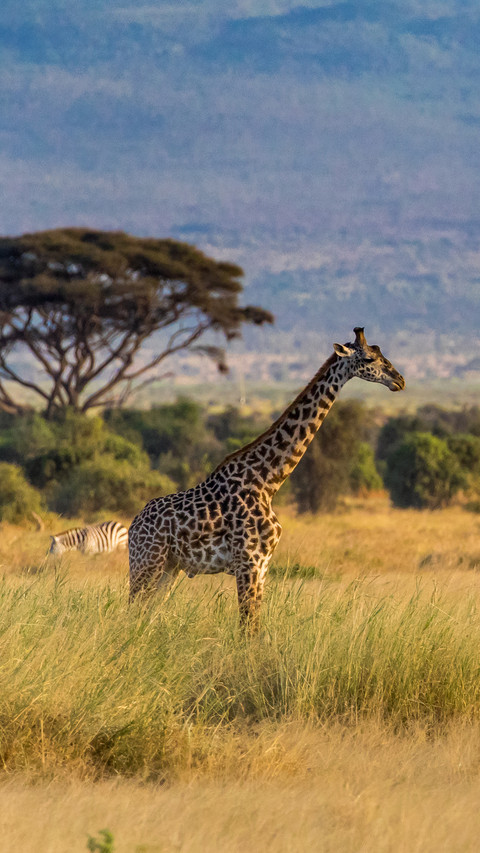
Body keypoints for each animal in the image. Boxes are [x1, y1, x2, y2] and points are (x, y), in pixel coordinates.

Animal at [128, 327, 405, 629]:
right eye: (369, 358)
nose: (399, 380)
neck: (267, 482)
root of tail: (133, 526)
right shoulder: (248, 562)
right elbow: (247, 627)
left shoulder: (262, 565)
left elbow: (254, 626)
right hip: (146, 563)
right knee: (130, 612)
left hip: (169, 569)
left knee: (145, 617)